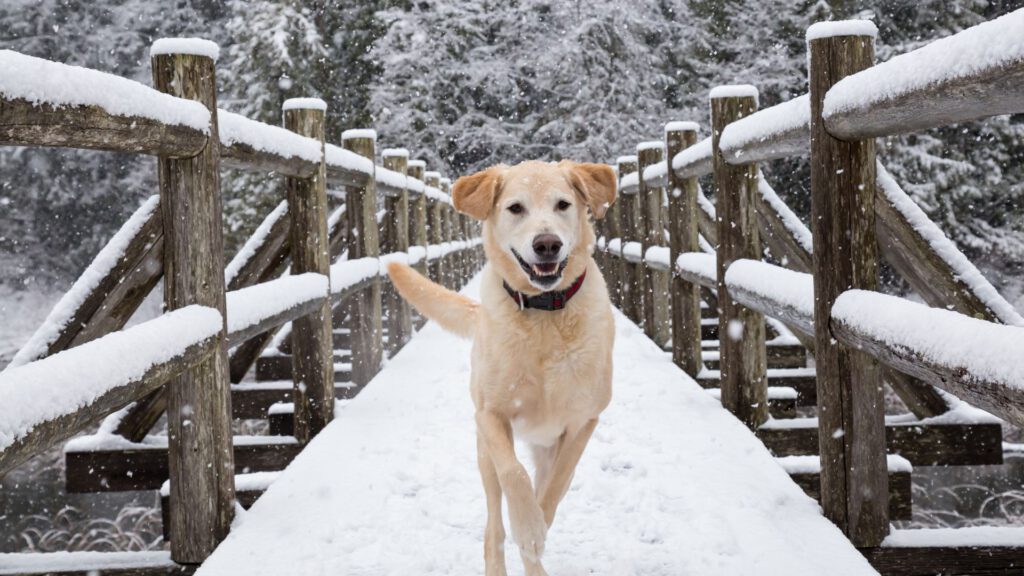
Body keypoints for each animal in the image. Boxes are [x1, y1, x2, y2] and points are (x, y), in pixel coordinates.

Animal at [387, 157, 614, 573]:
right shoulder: (489, 414)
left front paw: (536, 530)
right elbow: (514, 474)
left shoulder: (584, 420)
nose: (547, 244)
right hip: (483, 454)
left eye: (562, 204)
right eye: (515, 208)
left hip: (547, 446)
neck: (544, 315)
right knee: (494, 523)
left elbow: (554, 489)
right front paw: (527, 526)